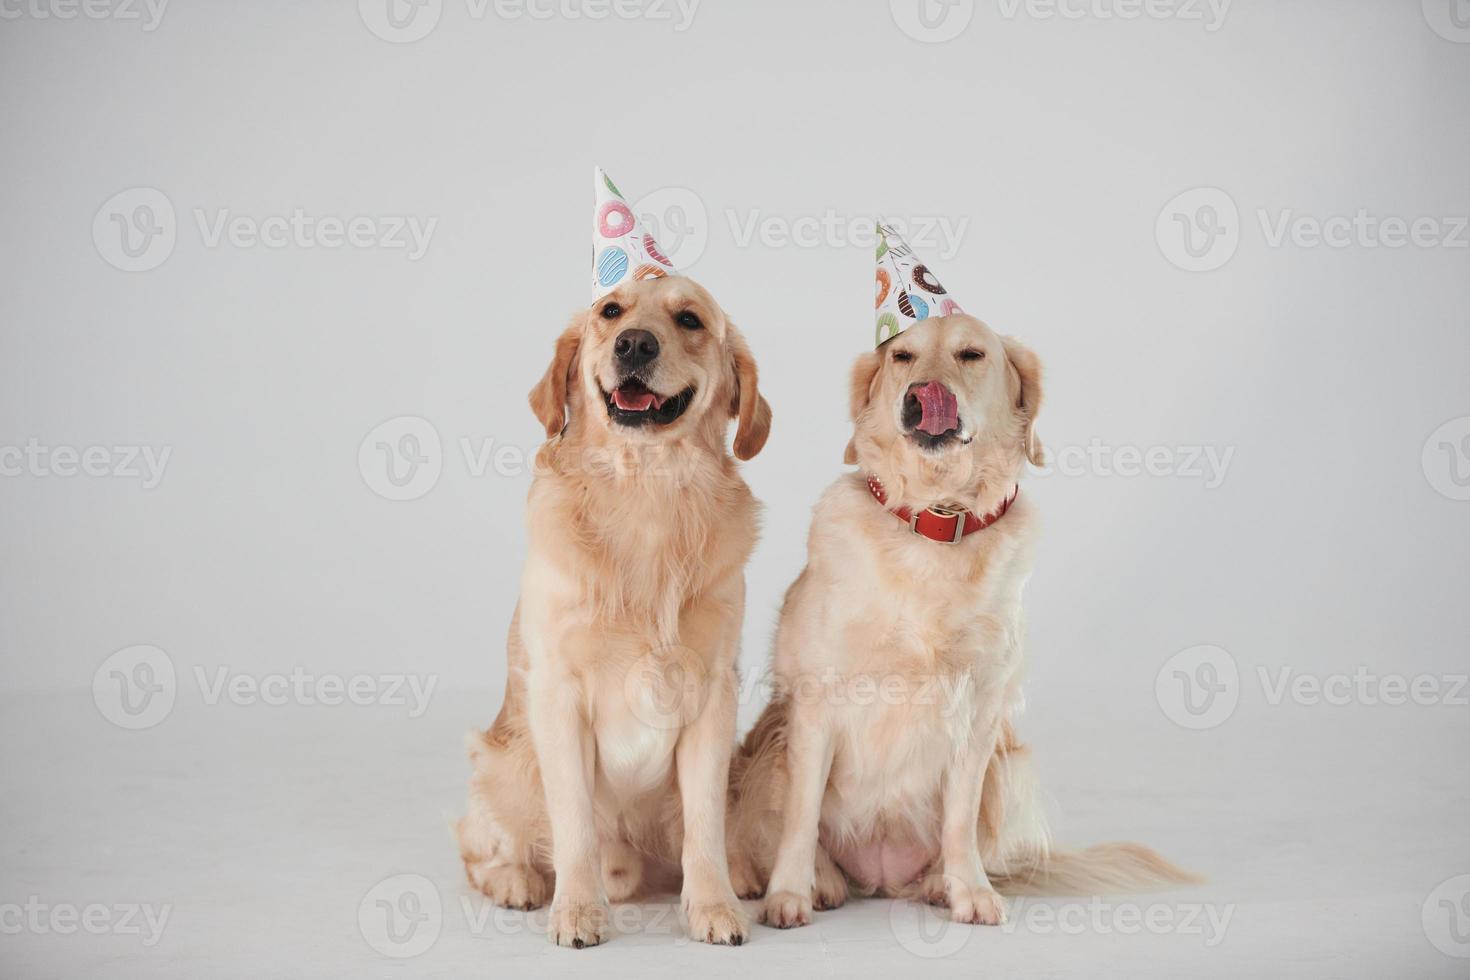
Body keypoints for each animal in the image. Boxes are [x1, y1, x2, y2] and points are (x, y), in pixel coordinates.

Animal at [458, 271, 770, 946]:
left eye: (689, 319)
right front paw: (578, 909)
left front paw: (715, 905)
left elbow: (704, 824)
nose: (634, 344)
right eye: (610, 311)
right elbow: (574, 824)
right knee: (478, 849)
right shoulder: (558, 693)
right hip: (501, 761)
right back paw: (516, 881)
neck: (645, 488)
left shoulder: (712, 692)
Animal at [723, 314, 1193, 928]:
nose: (922, 397)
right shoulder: (815, 705)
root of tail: (880, 877)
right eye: (901, 356)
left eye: (972, 355)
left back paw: (937, 885)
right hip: (764, 751)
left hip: (1012, 765)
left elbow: (960, 820)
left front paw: (969, 891)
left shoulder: (981, 714)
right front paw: (788, 895)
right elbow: (801, 819)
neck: (935, 520)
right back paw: (822, 883)